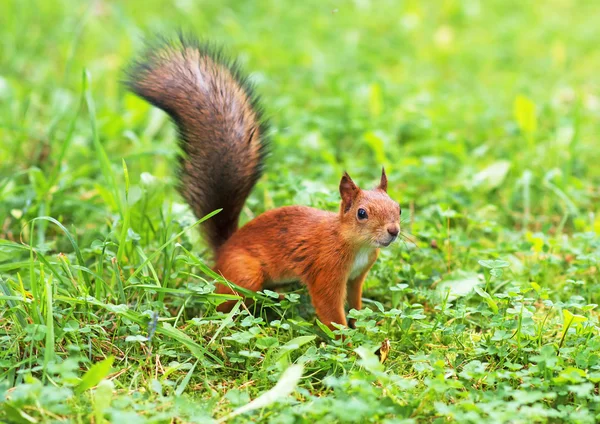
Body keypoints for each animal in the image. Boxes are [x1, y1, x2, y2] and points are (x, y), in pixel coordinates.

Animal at [124, 34, 400, 332]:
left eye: (398, 208)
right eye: (361, 213)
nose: (394, 231)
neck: (353, 243)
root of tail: (223, 251)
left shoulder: (356, 276)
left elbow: (356, 302)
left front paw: (365, 323)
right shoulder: (325, 270)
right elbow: (330, 311)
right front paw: (345, 338)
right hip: (246, 274)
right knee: (223, 303)